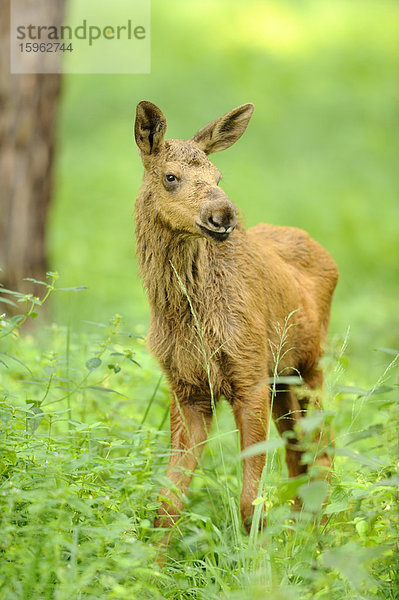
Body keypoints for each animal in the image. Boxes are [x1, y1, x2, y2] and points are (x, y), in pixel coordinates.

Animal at [135, 102, 340, 536]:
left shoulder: (249, 376)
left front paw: (259, 556)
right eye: (170, 176)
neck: (190, 316)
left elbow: (250, 502)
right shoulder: (187, 388)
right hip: (283, 379)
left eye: (218, 176)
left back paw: (320, 543)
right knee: (299, 458)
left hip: (310, 365)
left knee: (323, 456)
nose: (223, 214)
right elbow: (168, 502)